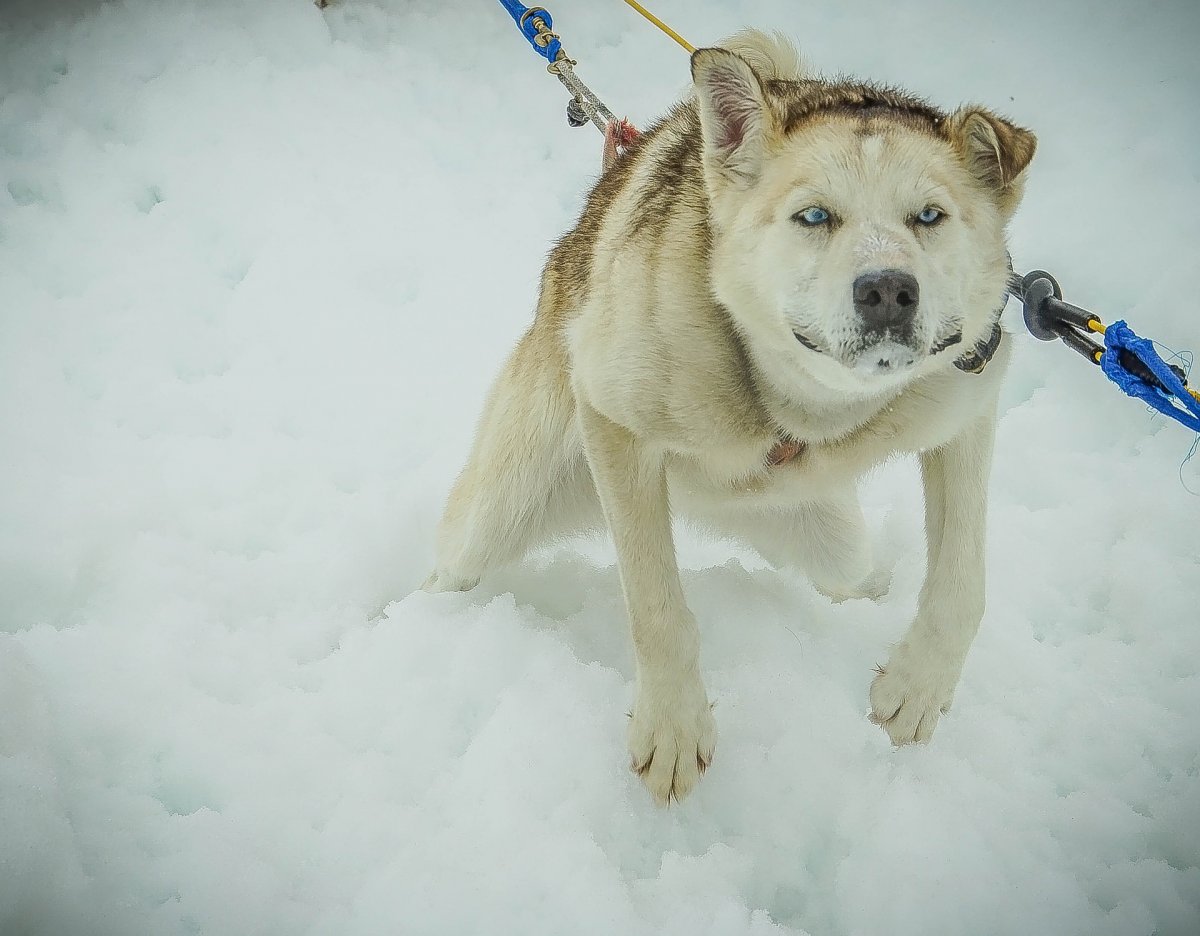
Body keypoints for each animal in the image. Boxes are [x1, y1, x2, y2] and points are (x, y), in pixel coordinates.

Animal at [427, 31, 1036, 806]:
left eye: (928, 217)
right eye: (815, 216)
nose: (888, 290)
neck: (799, 409)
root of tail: (711, 503)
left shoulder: (965, 401)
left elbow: (963, 581)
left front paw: (918, 686)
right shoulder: (615, 424)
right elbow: (656, 605)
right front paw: (674, 725)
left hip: (828, 537)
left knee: (850, 572)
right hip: (500, 506)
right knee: (453, 560)